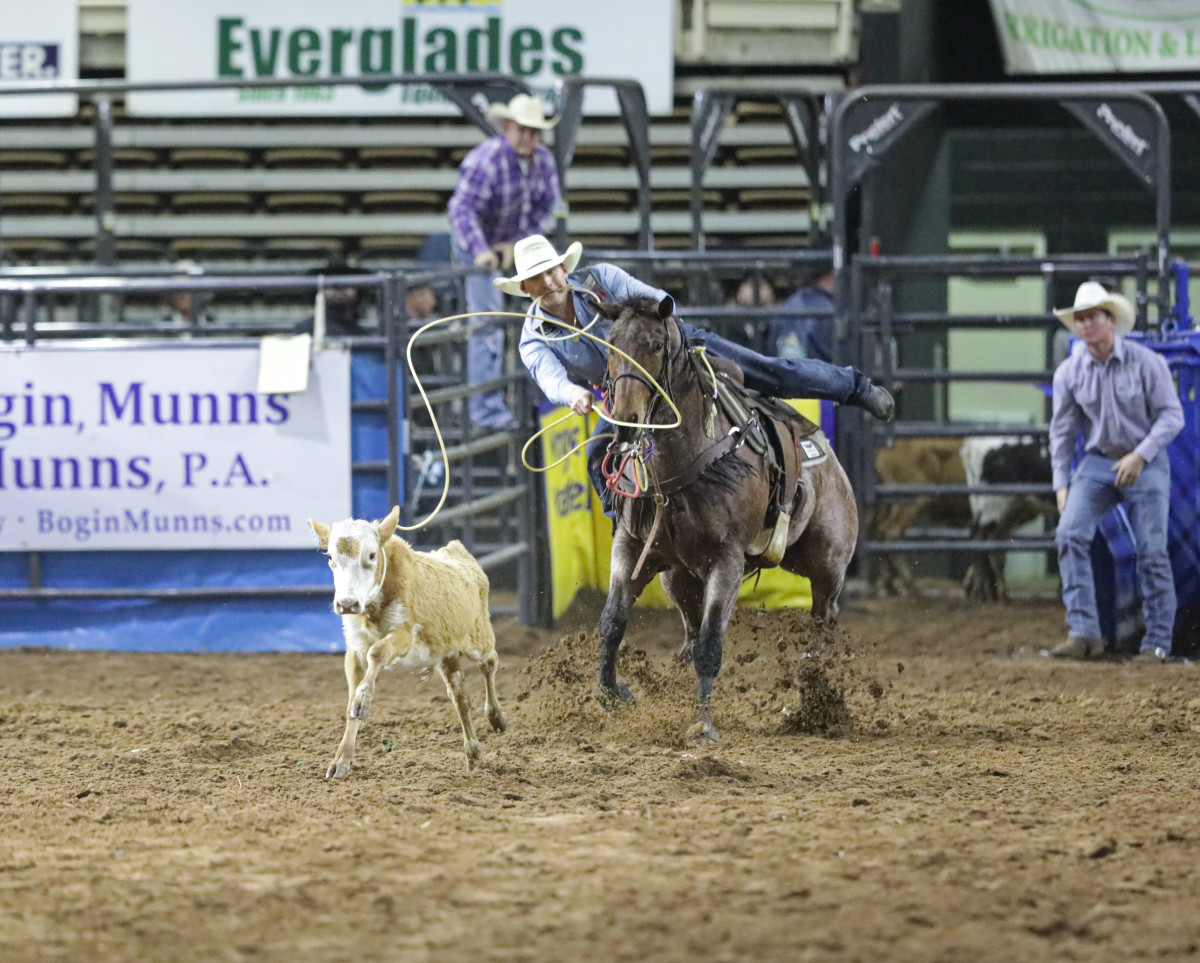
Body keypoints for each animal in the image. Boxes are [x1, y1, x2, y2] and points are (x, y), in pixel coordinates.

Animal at [309, 506, 506, 778]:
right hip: (448, 656)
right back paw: (474, 755)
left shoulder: (405, 634)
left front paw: (363, 701)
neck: (374, 607)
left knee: (490, 664)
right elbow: (351, 704)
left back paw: (496, 717)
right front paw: (341, 760)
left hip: (480, 639)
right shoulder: (355, 648)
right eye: (330, 557)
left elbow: (378, 653)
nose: (347, 604)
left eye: (372, 555)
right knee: (460, 698)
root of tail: (457, 552)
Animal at [595, 296, 859, 739]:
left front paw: (702, 722)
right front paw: (611, 695)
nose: (627, 423)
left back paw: (812, 695)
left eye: (656, 345)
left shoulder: (727, 561)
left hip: (826, 563)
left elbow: (710, 643)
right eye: (610, 344)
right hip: (678, 577)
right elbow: (613, 621)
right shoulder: (632, 547)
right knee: (688, 628)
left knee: (824, 620)